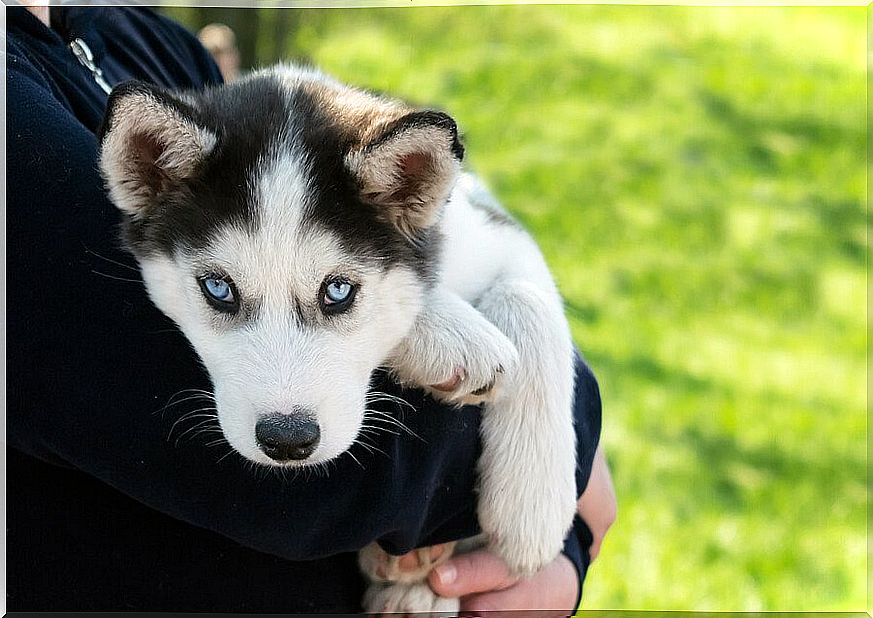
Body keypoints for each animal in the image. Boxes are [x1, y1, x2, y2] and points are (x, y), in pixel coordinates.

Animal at [99, 65, 580, 608]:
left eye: (338, 290)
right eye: (218, 288)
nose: (287, 440)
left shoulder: (492, 227)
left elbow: (527, 297)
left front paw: (534, 507)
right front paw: (451, 336)